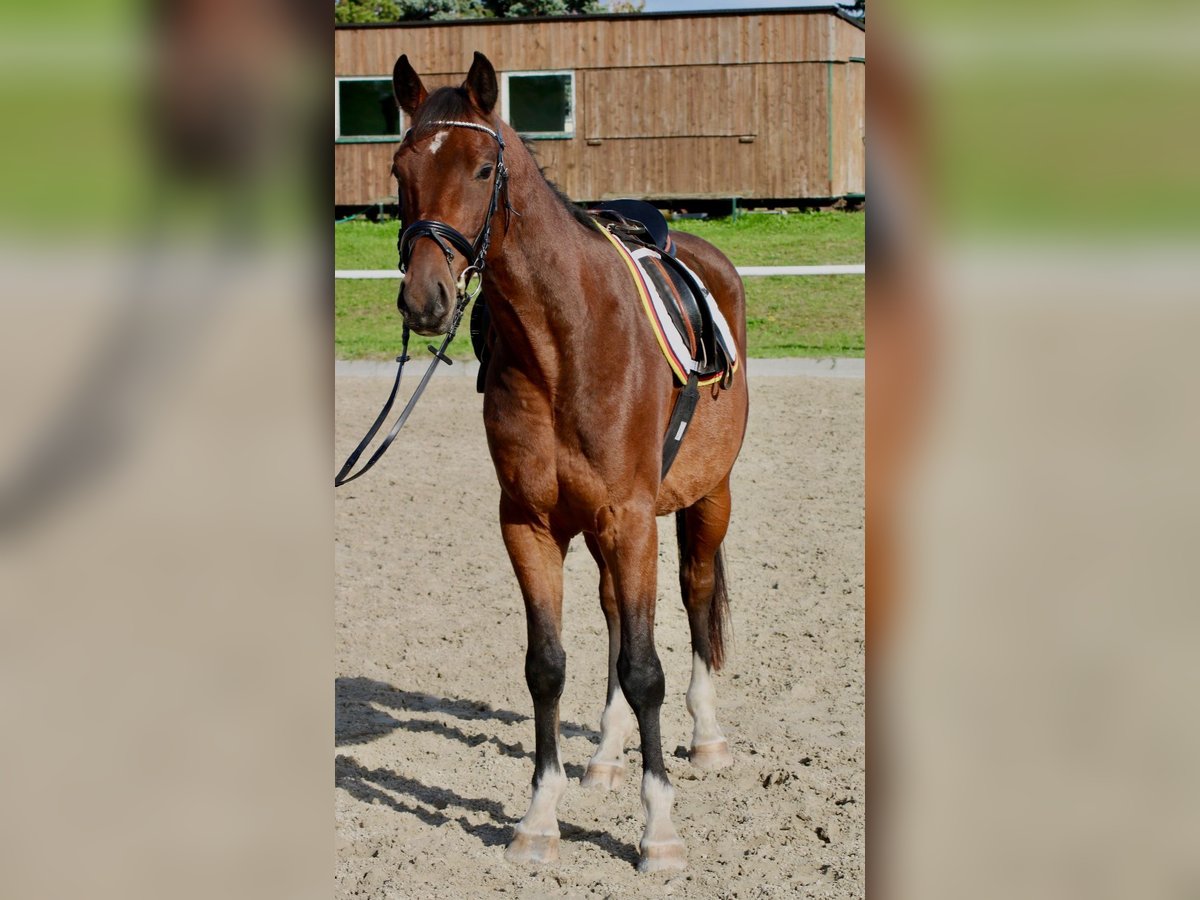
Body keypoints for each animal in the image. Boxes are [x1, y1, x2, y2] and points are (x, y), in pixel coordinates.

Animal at [389, 52, 749, 873]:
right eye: (399, 170)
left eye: (483, 168)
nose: (425, 301)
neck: (564, 342)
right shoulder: (529, 523)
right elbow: (548, 665)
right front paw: (540, 816)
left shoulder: (633, 519)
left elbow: (646, 668)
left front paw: (659, 830)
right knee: (616, 616)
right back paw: (607, 755)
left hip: (706, 499)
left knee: (694, 594)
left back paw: (707, 736)